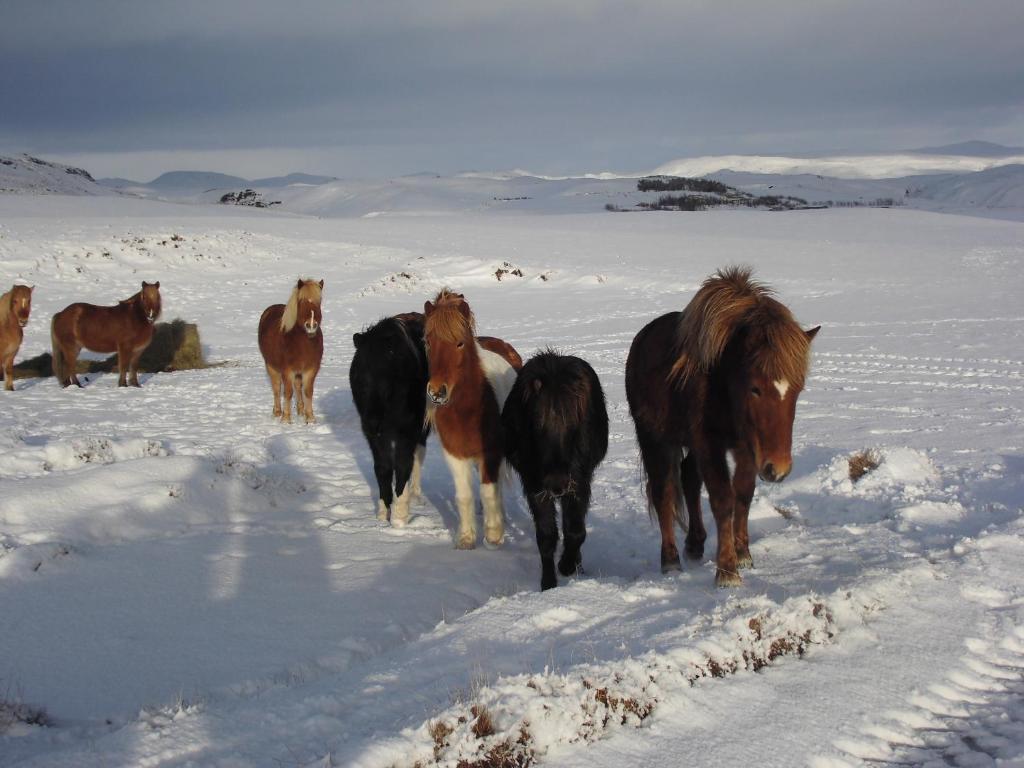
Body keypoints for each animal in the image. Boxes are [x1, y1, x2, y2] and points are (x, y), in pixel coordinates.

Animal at [258, 280, 321, 428]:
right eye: (301, 302)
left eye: (319, 302)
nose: (311, 325)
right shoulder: (287, 371)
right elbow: (287, 392)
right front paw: (286, 418)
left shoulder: (310, 370)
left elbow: (308, 391)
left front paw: (310, 418)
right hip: (271, 366)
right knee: (276, 388)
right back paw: (277, 412)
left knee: (298, 387)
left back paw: (301, 410)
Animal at [350, 315, 430, 528]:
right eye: (359, 378)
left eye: (386, 380)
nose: (371, 423)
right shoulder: (375, 439)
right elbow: (382, 468)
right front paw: (383, 513)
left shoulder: (407, 433)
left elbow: (403, 465)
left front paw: (399, 518)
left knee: (418, 455)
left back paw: (415, 495)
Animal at [421, 286, 520, 548]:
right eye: (427, 342)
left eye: (459, 343)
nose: (437, 392)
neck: (466, 410)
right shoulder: (454, 454)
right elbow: (464, 495)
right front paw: (466, 539)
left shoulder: (492, 452)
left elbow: (488, 491)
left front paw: (494, 535)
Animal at [503, 352, 606, 593]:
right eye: (536, 422)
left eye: (574, 421)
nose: (556, 481)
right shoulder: (535, 486)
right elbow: (546, 536)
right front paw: (548, 584)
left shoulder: (579, 482)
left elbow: (576, 531)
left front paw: (567, 565)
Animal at [618, 266, 819, 589]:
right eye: (755, 388)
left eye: (798, 389)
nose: (778, 469)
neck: (723, 383)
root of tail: (641, 340)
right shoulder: (709, 444)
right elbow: (723, 499)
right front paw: (727, 571)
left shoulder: (746, 448)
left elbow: (743, 494)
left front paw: (743, 554)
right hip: (654, 439)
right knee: (663, 492)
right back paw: (671, 560)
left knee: (688, 478)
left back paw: (695, 544)